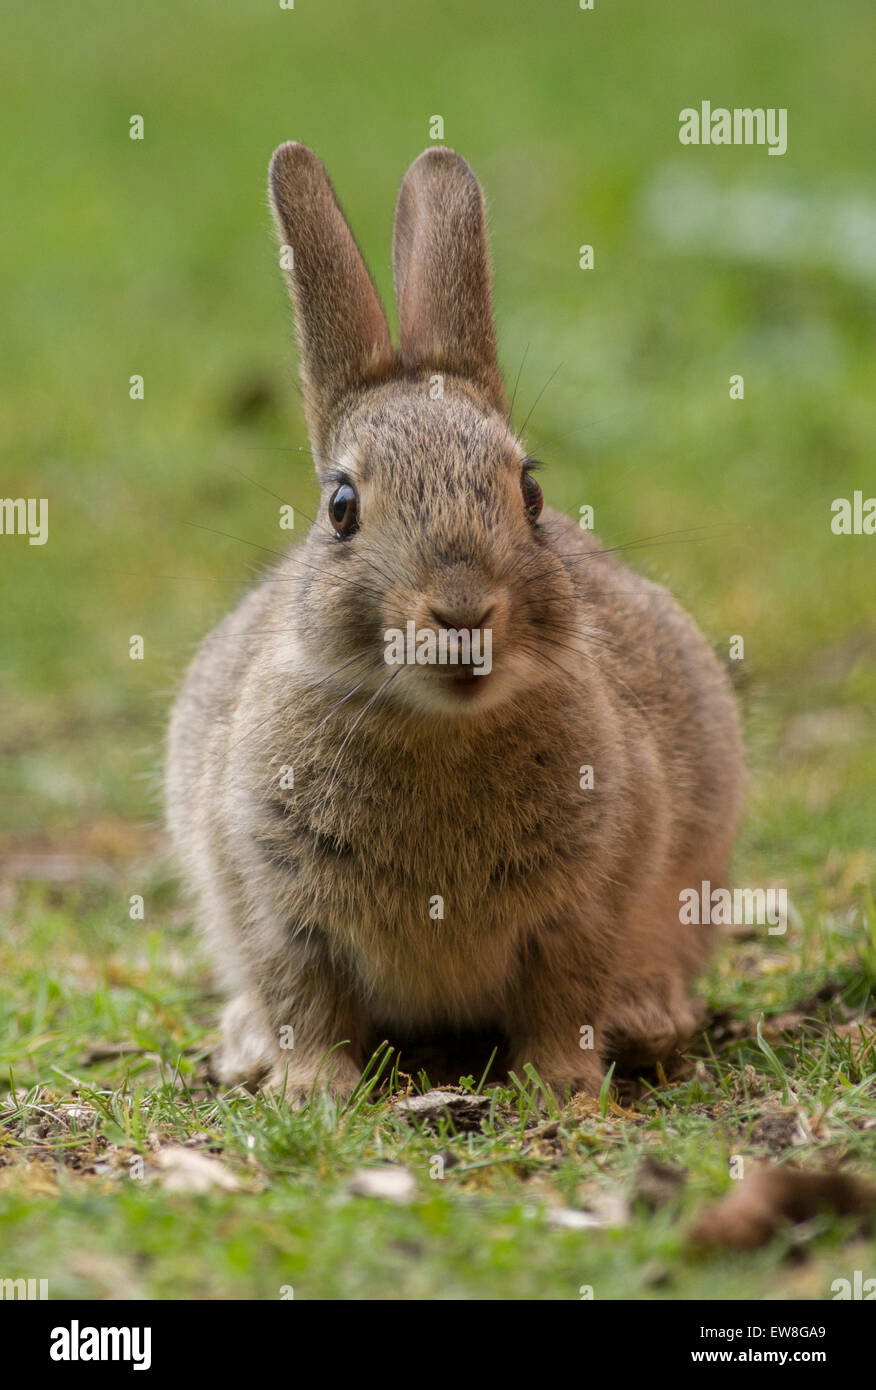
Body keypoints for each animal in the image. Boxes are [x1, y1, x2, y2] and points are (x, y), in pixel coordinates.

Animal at [163, 141, 739, 1095]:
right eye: (342, 508)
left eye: (530, 493)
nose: (464, 613)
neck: (438, 727)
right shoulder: (273, 896)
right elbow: (303, 995)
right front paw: (312, 1088)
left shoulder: (587, 900)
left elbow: (564, 994)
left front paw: (563, 1086)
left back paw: (648, 1017)